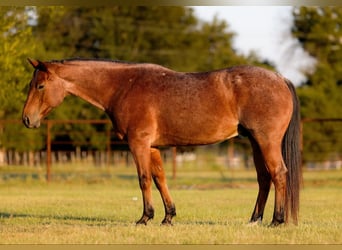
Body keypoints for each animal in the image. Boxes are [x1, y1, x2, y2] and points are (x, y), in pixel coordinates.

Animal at [22, 58, 302, 227]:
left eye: (40, 86)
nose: (27, 119)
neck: (123, 86)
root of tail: (280, 78)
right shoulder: (153, 147)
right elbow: (160, 179)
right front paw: (168, 216)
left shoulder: (139, 144)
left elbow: (144, 179)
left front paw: (145, 217)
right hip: (255, 142)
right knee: (264, 178)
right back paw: (254, 219)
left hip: (266, 141)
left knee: (278, 173)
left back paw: (277, 220)